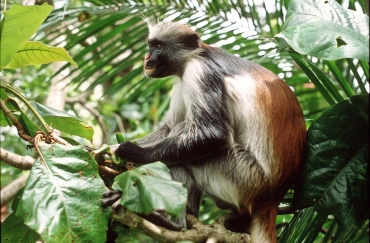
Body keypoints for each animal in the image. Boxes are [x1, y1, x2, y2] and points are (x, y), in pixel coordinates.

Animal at [102, 20, 304, 243]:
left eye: (159, 47)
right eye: (150, 45)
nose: (147, 57)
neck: (198, 54)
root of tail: (271, 198)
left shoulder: (199, 70)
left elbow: (213, 135)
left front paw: (132, 153)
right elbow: (168, 127)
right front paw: (104, 151)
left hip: (243, 177)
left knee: (181, 145)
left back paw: (173, 220)